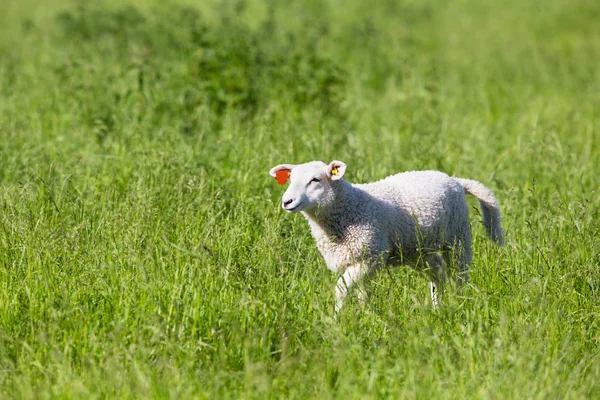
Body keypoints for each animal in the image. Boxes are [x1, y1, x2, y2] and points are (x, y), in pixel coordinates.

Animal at [270, 159, 504, 312]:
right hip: (417, 249)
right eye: (290, 180)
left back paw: (462, 302)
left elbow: (341, 289)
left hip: (457, 236)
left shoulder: (371, 256)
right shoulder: (355, 258)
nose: (287, 201)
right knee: (437, 269)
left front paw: (336, 320)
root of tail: (454, 179)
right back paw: (437, 307)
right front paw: (366, 314)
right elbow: (361, 292)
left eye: (315, 180)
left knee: (460, 272)